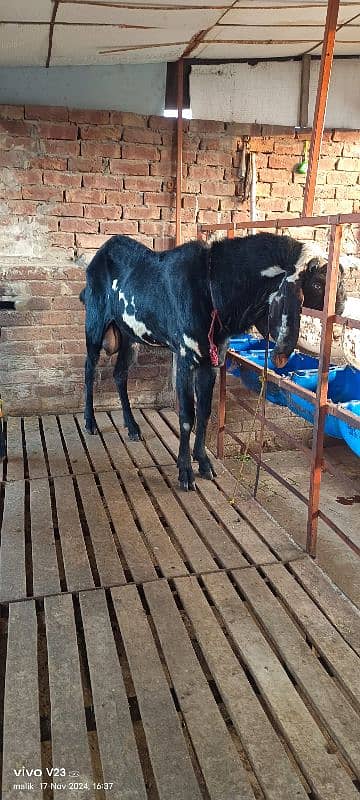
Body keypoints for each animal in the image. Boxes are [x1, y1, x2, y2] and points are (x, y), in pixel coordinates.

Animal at [79, 231, 346, 490]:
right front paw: (185, 471)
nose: (341, 311)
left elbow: (205, 411)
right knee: (89, 370)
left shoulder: (212, 362)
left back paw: (132, 426)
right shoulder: (185, 358)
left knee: (120, 374)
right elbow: (187, 415)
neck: (212, 286)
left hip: (129, 337)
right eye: (318, 283)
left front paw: (204, 462)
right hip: (94, 325)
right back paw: (90, 421)